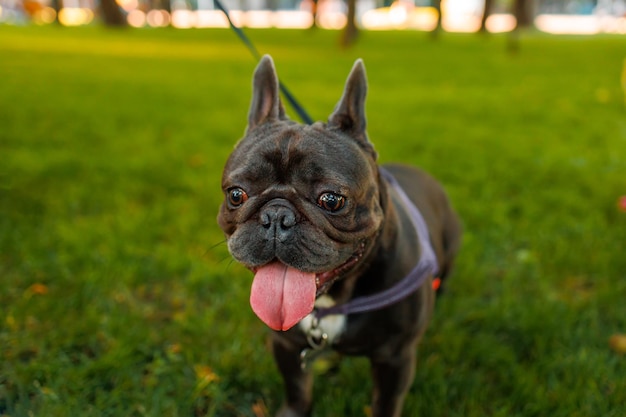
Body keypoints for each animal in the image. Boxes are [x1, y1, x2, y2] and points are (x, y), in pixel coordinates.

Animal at [217, 56, 460, 416]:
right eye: (236, 194)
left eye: (331, 200)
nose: (276, 216)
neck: (331, 302)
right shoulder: (286, 344)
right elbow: (297, 390)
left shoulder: (395, 359)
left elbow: (385, 404)